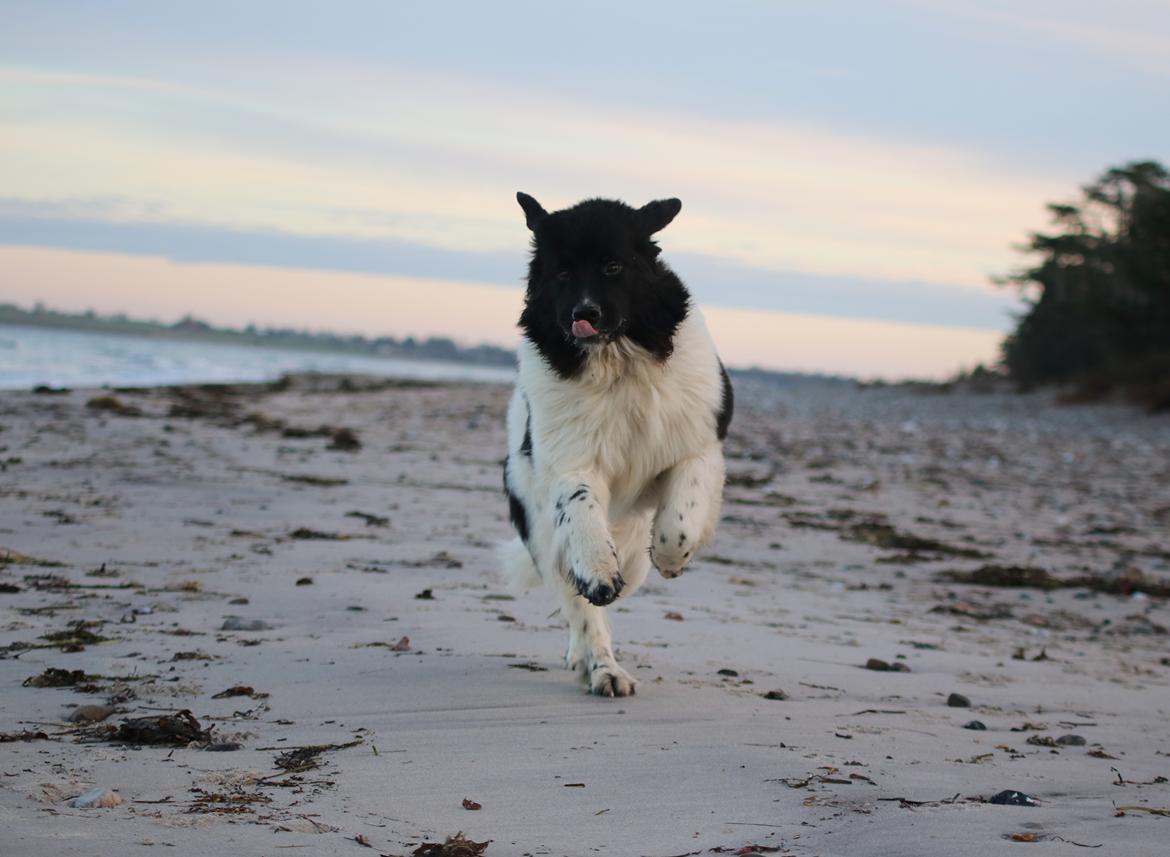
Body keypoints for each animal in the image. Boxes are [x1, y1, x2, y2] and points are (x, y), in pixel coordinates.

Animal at [498, 192, 734, 697]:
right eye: (563, 273)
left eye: (613, 267)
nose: (583, 315)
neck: (617, 362)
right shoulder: (570, 462)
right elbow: (581, 510)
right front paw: (598, 572)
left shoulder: (699, 441)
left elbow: (682, 514)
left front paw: (672, 555)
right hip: (542, 530)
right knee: (581, 610)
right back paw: (602, 668)